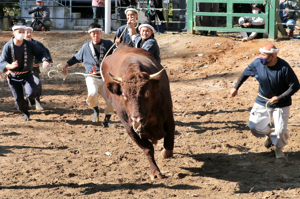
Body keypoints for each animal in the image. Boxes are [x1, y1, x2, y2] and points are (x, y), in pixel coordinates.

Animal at [102, 44, 175, 180]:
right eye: (124, 95)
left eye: (147, 93)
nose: (136, 119)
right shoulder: (130, 127)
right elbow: (147, 149)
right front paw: (155, 172)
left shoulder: (169, 117)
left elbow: (169, 142)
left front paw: (164, 153)